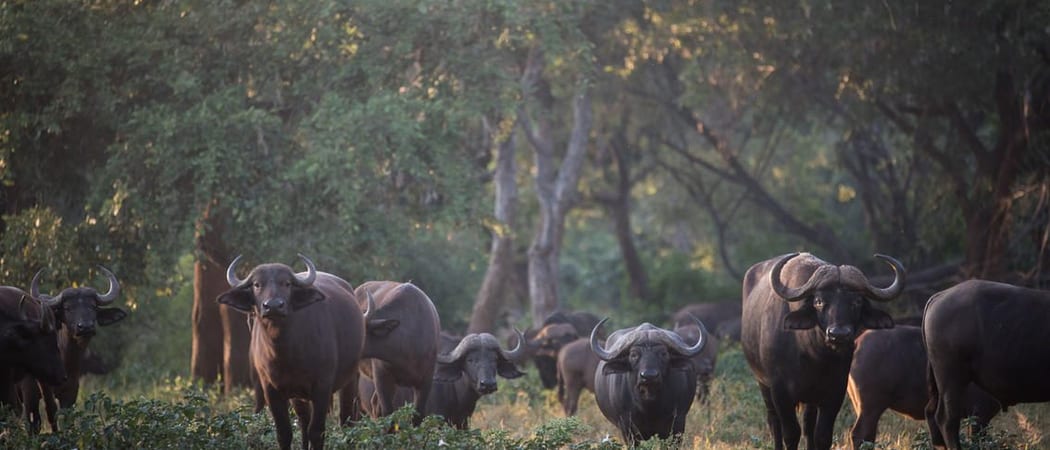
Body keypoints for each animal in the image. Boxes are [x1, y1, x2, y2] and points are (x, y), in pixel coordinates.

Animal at [20, 267, 128, 433]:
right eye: (68, 308)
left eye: (93, 306)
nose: (86, 327)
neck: (65, 358)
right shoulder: (34, 391)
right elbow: (49, 415)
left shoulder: (71, 391)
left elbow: (67, 418)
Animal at [218, 254, 365, 450]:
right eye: (257, 284)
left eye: (286, 283)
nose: (273, 306)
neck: (287, 353)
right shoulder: (271, 390)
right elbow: (284, 433)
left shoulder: (322, 386)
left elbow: (317, 432)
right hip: (298, 395)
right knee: (304, 421)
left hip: (351, 379)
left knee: (346, 420)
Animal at [741, 252, 904, 450]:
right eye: (819, 302)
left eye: (856, 302)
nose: (839, 334)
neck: (813, 355)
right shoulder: (780, 391)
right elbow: (791, 433)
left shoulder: (835, 391)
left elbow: (822, 436)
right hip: (763, 383)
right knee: (774, 422)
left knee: (808, 424)